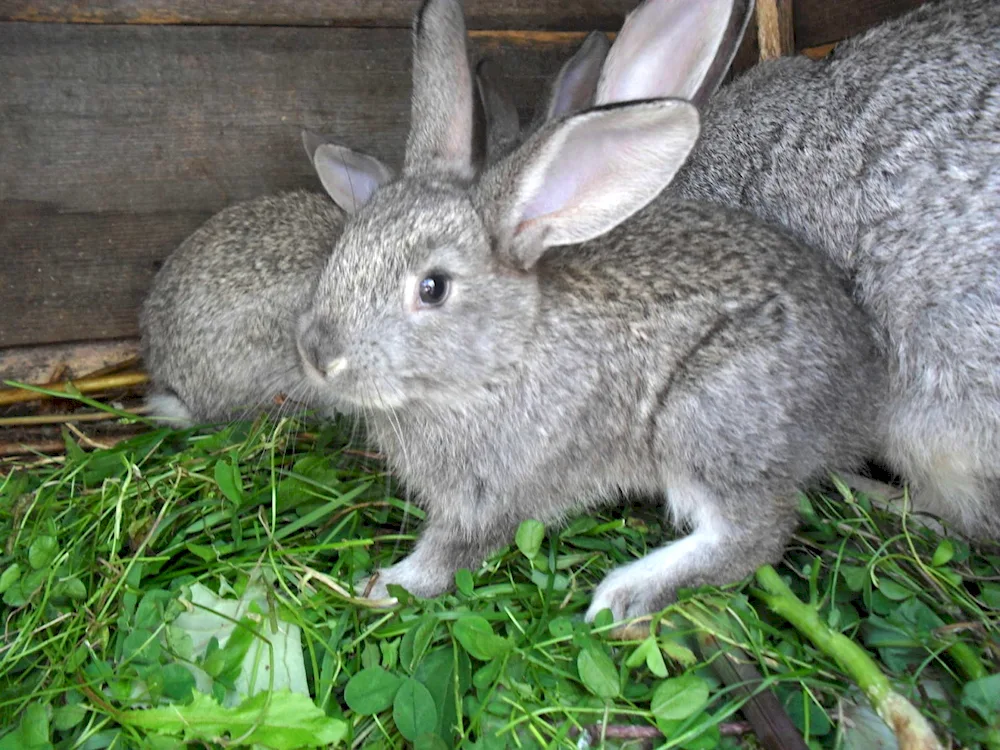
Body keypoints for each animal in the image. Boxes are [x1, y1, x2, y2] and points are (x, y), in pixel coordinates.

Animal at [294, 0, 884, 624]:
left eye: (433, 288)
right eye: (343, 245)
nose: (318, 355)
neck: (503, 358)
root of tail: (864, 391)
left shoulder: (490, 497)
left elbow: (451, 554)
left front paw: (382, 585)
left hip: (708, 418)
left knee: (754, 532)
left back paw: (624, 595)